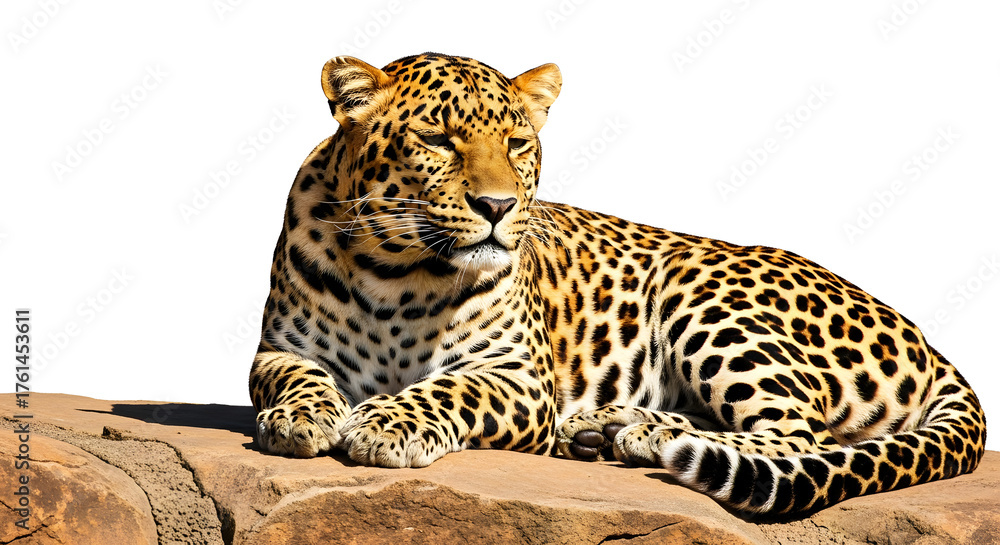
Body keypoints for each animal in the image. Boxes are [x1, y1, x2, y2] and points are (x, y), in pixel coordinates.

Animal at [249, 52, 986, 517]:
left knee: (805, 439)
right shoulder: (278, 350)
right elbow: (300, 378)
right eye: (436, 138)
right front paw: (301, 418)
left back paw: (649, 442)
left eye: (518, 143)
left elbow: (450, 388)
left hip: (703, 289)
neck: (399, 269)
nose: (497, 205)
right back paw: (606, 429)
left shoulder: (519, 375)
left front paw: (386, 424)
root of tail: (926, 339)